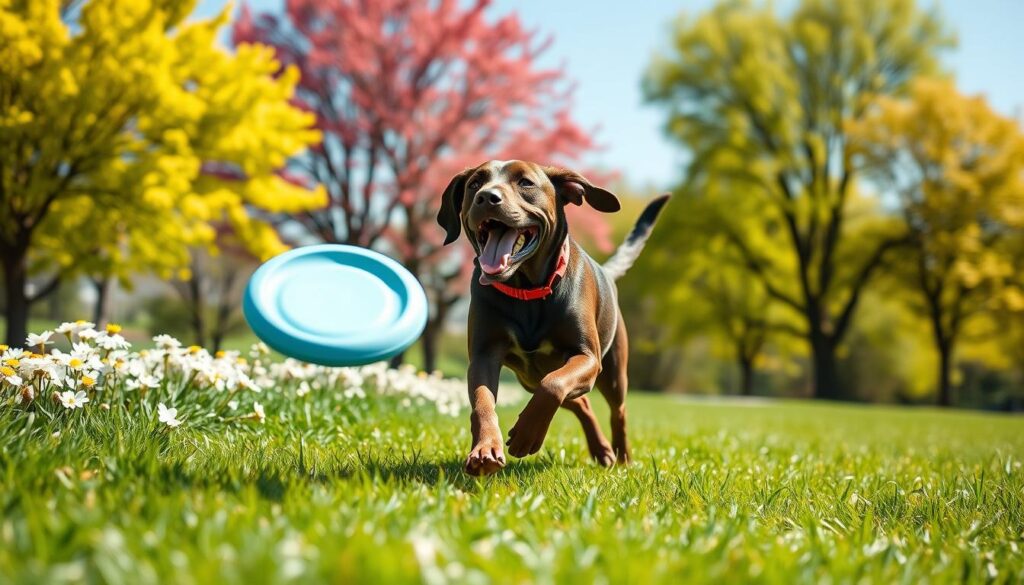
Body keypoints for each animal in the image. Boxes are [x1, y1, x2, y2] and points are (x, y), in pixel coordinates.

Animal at [436, 158, 667, 475]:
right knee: (582, 403)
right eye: (474, 184)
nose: (486, 197)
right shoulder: (484, 355)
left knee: (617, 410)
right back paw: (602, 450)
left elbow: (554, 385)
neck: (526, 290)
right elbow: (483, 403)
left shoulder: (587, 357)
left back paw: (621, 457)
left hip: (613, 373)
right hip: (529, 378)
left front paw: (526, 435)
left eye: (525, 183)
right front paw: (485, 449)